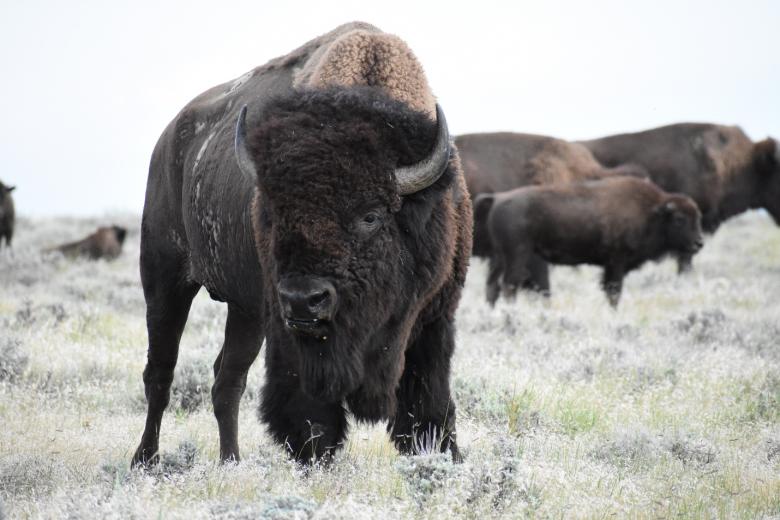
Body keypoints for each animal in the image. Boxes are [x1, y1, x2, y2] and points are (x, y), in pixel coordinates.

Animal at [131, 22, 472, 467]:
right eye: (275, 213)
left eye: (371, 216)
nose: (303, 300)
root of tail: (169, 140)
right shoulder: (290, 337)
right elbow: (310, 416)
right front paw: (315, 459)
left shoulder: (432, 320)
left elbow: (429, 406)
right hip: (165, 278)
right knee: (161, 372)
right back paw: (145, 460)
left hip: (245, 311)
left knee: (227, 380)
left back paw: (230, 461)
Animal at [478, 176, 703, 307]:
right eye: (679, 219)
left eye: (698, 217)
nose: (698, 243)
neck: (651, 211)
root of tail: (498, 198)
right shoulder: (616, 262)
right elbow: (614, 291)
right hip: (517, 255)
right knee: (509, 285)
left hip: (499, 257)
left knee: (492, 286)